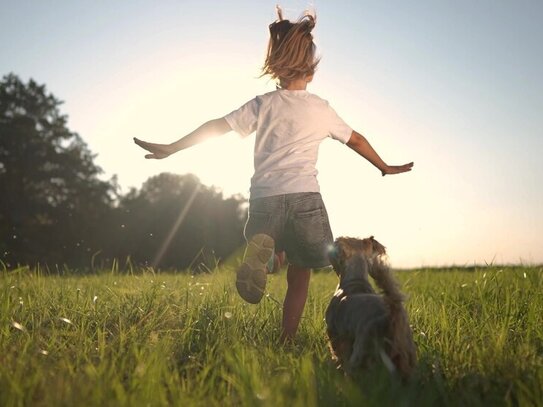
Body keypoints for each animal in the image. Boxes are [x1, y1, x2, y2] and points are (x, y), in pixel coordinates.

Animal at [326, 236, 418, 380]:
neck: (356, 279)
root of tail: (392, 316)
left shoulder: (334, 332)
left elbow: (338, 353)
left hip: (362, 351)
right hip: (408, 354)